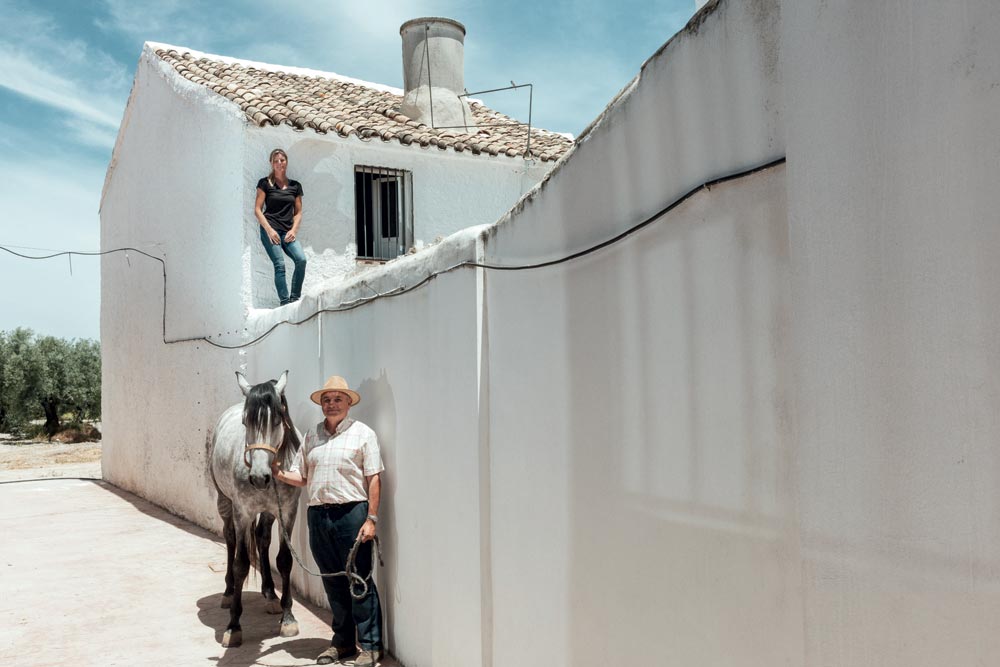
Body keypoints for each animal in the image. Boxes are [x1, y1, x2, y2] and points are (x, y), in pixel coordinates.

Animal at [210, 370, 300, 648]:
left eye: (278, 420)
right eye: (246, 421)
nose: (260, 478)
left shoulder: (288, 512)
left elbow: (284, 560)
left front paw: (288, 618)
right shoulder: (243, 512)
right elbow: (241, 564)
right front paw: (233, 626)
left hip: (269, 512)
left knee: (262, 538)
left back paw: (270, 594)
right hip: (225, 502)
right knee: (230, 539)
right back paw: (229, 592)